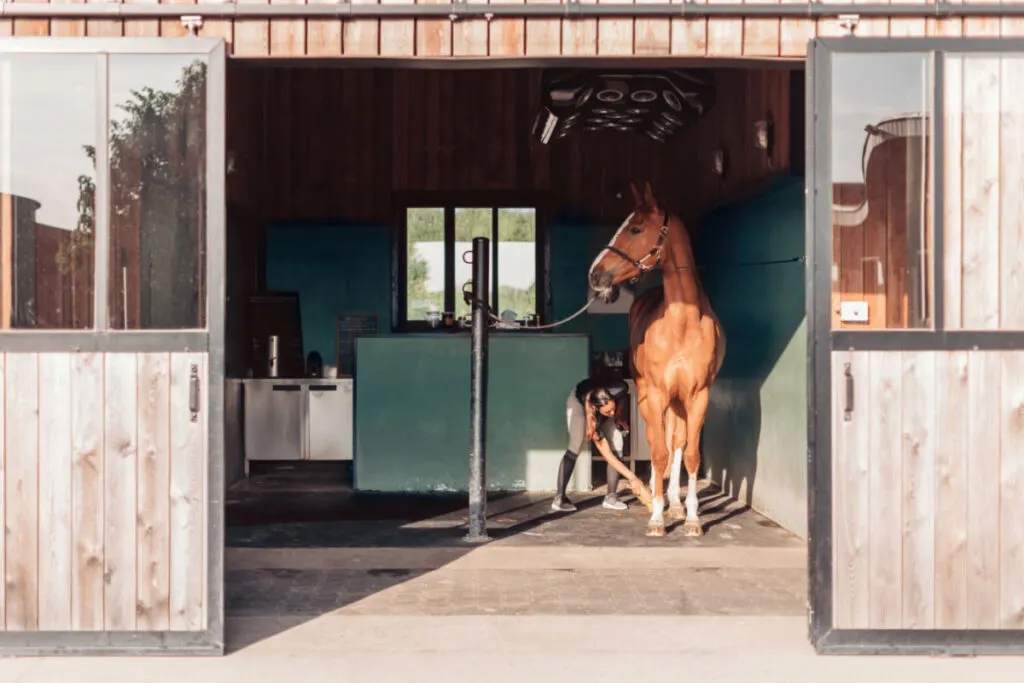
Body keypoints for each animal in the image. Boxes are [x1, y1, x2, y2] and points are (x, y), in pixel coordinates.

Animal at [589, 181, 724, 540]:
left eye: (636, 228)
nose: (595, 275)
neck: (682, 324)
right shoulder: (656, 395)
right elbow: (659, 451)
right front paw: (656, 517)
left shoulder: (697, 396)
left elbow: (689, 453)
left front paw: (691, 518)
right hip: (651, 397)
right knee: (657, 442)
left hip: (678, 401)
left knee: (675, 441)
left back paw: (675, 502)